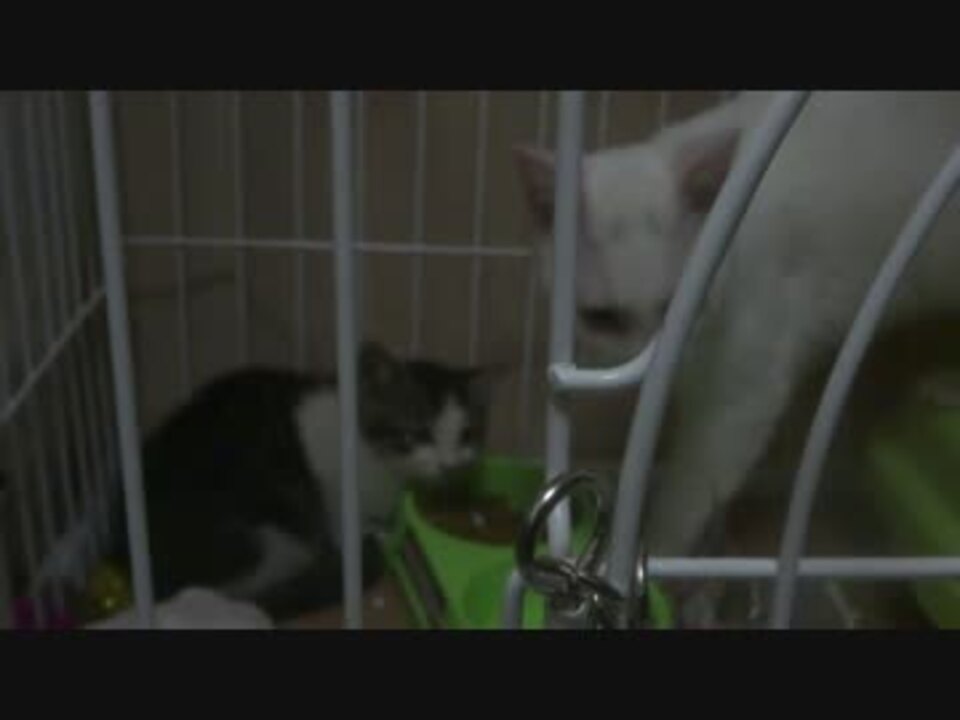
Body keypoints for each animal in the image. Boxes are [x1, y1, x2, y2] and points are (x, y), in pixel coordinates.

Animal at [108, 341, 495, 621]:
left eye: (466, 435)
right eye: (417, 433)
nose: (447, 464)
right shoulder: (335, 492)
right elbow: (346, 531)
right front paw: (364, 541)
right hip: (273, 536)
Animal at [515, 91, 960, 560]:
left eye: (678, 306)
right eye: (602, 318)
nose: (652, 372)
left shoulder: (744, 394)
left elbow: (688, 493)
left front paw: (655, 555)